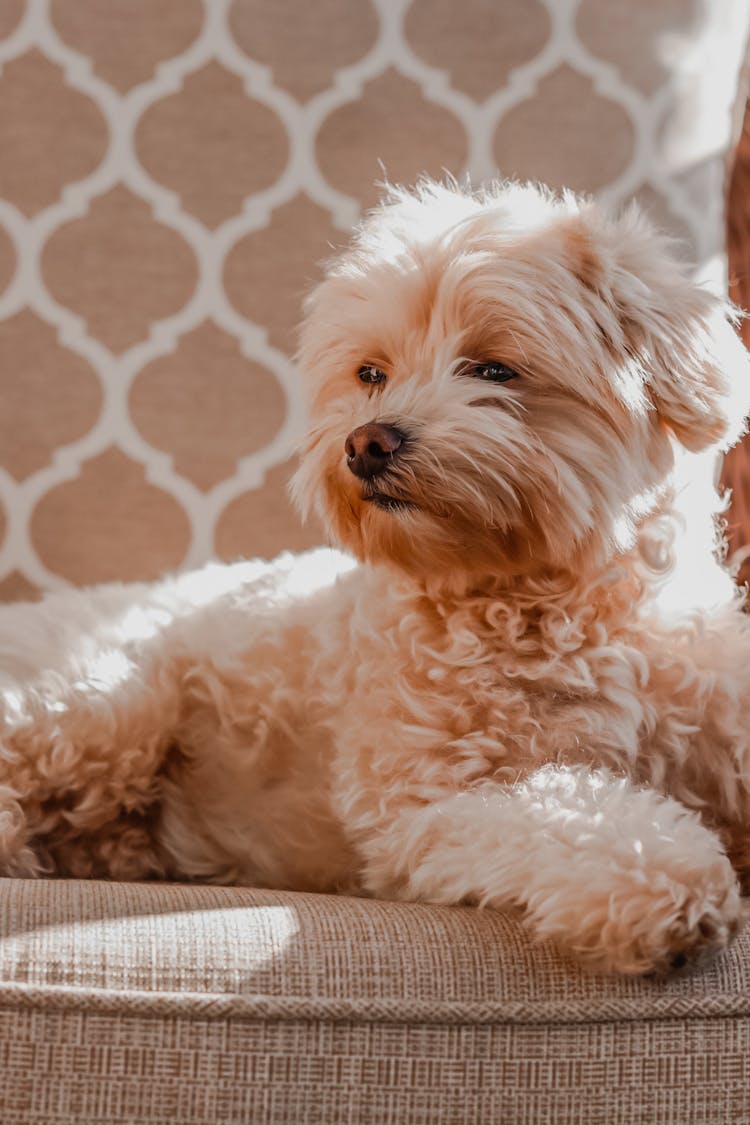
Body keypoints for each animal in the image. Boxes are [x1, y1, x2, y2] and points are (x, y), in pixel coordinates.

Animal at [1, 177, 750, 976]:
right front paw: (669, 885)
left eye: (493, 369)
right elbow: (567, 811)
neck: (546, 606)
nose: (367, 442)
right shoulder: (431, 804)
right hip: (106, 707)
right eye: (371, 374)